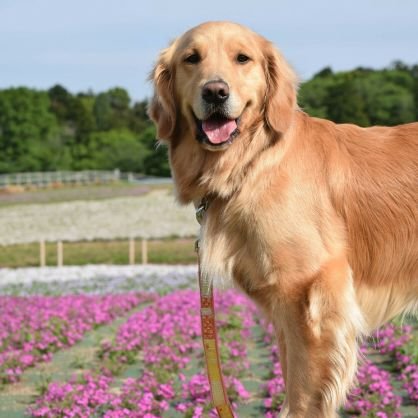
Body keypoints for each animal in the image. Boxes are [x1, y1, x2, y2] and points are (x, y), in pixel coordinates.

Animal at [149, 21, 418, 416]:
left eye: (242, 58)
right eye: (191, 58)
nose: (215, 92)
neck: (253, 162)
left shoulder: (309, 298)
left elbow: (303, 396)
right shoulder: (284, 310)